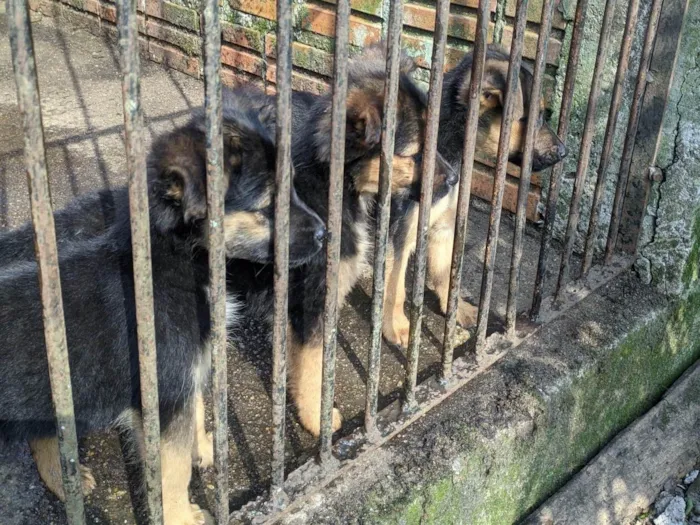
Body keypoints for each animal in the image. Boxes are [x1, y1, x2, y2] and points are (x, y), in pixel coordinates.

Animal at [0, 108, 326, 520]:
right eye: (268, 204)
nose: (325, 234)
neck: (175, 259)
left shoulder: (187, 372)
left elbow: (195, 415)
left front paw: (203, 449)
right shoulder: (164, 393)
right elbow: (171, 470)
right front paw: (182, 516)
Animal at [380, 46, 568, 348]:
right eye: (535, 116)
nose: (564, 152)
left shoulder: (444, 226)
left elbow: (446, 272)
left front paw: (457, 311)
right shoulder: (398, 234)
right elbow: (395, 287)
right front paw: (396, 327)